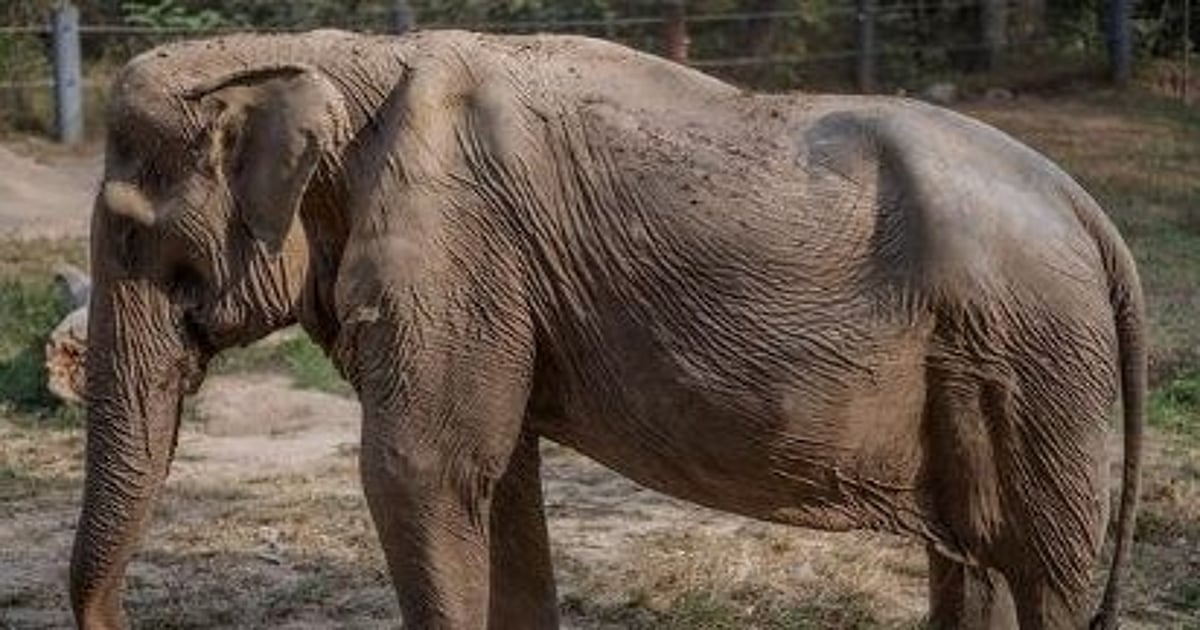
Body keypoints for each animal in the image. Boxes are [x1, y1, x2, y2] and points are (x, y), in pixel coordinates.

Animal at [71, 29, 1145, 630]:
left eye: (130, 235)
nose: (131, 621)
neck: (331, 58)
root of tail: (1095, 217)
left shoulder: (458, 250)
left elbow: (420, 471)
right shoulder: (492, 283)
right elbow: (496, 483)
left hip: (1037, 361)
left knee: (1042, 571)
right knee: (977, 559)